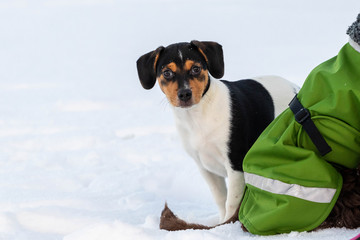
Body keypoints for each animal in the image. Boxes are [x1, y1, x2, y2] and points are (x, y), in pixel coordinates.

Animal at [135, 40, 298, 223]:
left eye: (196, 69)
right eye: (167, 72)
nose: (184, 94)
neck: (198, 116)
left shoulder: (235, 165)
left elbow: (232, 203)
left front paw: (228, 225)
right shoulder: (205, 168)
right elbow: (220, 198)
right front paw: (221, 223)